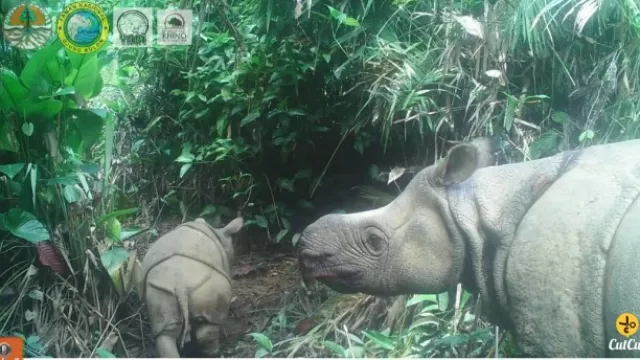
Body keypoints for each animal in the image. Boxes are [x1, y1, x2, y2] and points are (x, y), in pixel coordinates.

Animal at [136, 217, 244, 358]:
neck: (219, 233)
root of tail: (180, 285)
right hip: (208, 287)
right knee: (210, 323)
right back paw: (215, 353)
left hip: (159, 290)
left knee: (166, 333)